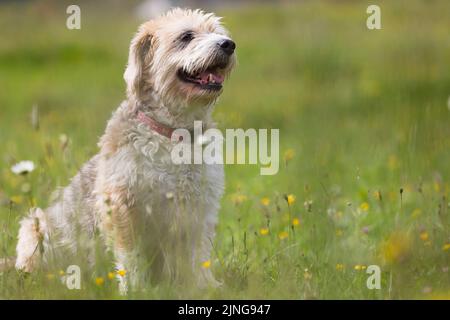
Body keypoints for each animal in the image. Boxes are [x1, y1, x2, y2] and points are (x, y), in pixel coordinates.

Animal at [9, 7, 236, 292]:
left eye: (217, 32)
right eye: (186, 36)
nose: (228, 44)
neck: (173, 133)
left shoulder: (200, 208)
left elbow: (198, 255)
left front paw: (205, 286)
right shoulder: (122, 207)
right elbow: (131, 256)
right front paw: (135, 289)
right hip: (36, 228)